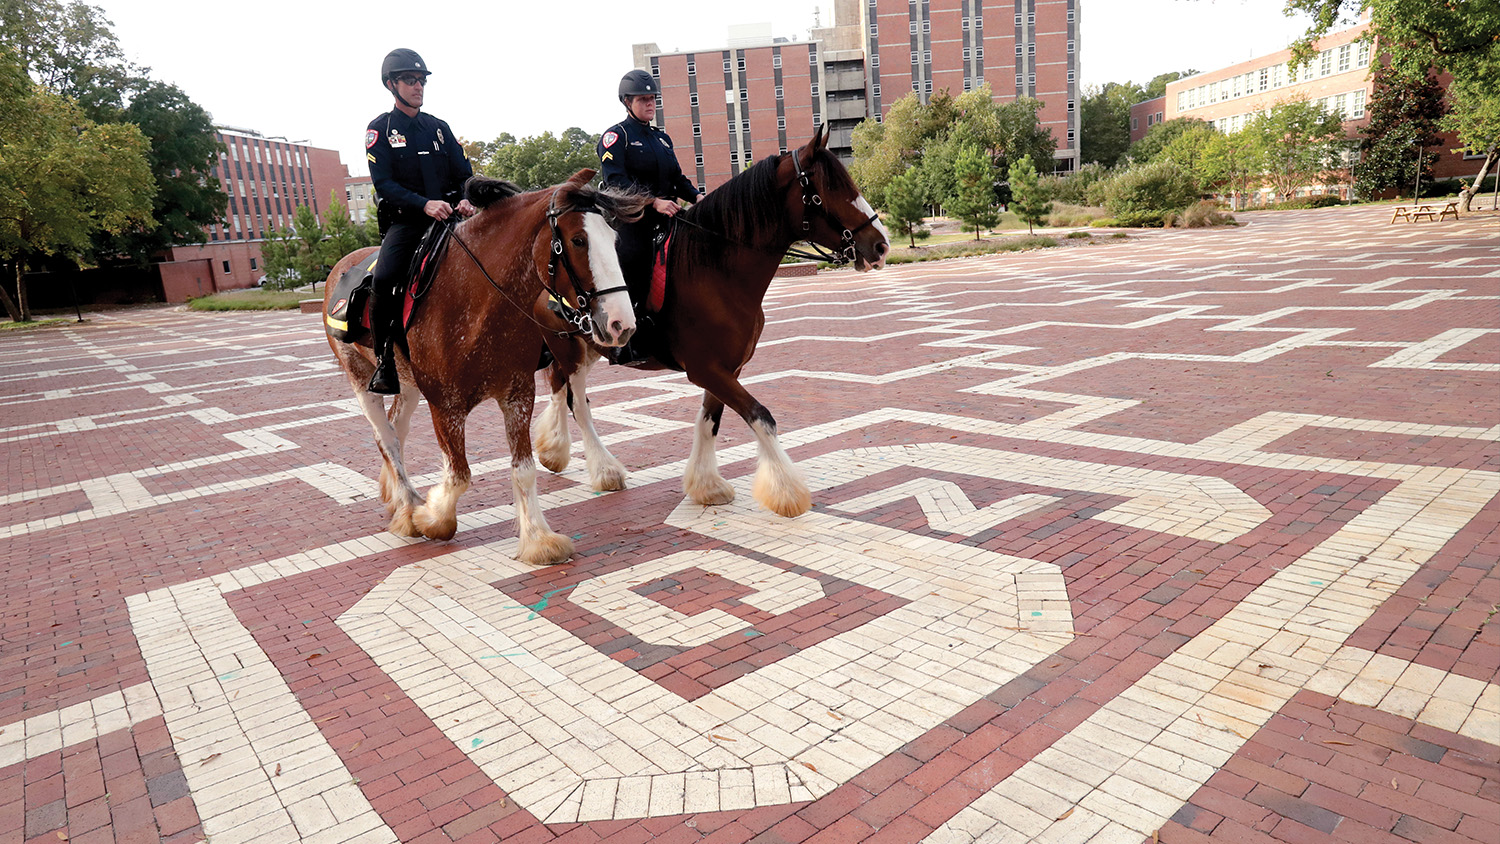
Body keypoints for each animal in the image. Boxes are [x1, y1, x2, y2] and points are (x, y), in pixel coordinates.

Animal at [325, 168, 648, 563]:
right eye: (577, 240)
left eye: (613, 238)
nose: (622, 323)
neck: (475, 299)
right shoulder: (445, 405)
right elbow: (459, 474)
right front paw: (431, 517)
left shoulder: (517, 393)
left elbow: (523, 469)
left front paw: (538, 538)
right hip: (361, 377)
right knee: (385, 437)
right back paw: (406, 507)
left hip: (413, 382)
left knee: (396, 428)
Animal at [534, 128, 882, 518]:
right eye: (826, 191)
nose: (880, 245)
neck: (715, 269)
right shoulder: (707, 369)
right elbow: (760, 416)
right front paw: (787, 491)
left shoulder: (726, 368)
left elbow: (708, 421)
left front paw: (706, 485)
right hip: (570, 350)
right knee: (577, 402)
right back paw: (604, 470)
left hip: (588, 347)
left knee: (559, 389)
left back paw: (553, 451)